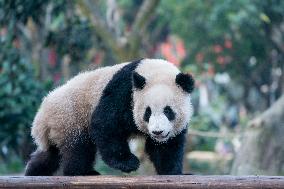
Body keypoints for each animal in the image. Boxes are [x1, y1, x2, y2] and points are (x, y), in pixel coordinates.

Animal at [25, 58, 193, 176]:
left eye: (168, 111)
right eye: (148, 112)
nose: (158, 132)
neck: (155, 71)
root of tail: (43, 112)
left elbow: (167, 147)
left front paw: (173, 171)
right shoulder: (125, 91)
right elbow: (105, 123)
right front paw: (128, 163)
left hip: (59, 125)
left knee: (51, 153)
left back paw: (34, 171)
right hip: (71, 116)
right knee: (78, 147)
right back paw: (82, 172)